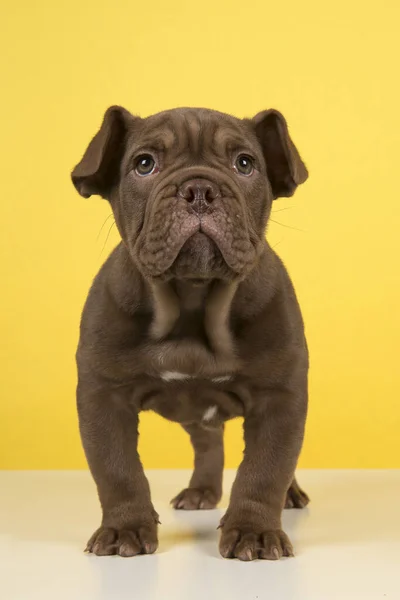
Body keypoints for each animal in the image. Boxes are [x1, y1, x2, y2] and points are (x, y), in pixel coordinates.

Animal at [71, 105, 310, 560]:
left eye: (245, 164)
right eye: (144, 164)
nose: (199, 189)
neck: (193, 298)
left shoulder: (279, 397)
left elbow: (266, 468)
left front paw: (254, 531)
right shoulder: (104, 396)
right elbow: (117, 469)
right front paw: (124, 528)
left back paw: (290, 495)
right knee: (208, 444)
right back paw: (201, 492)